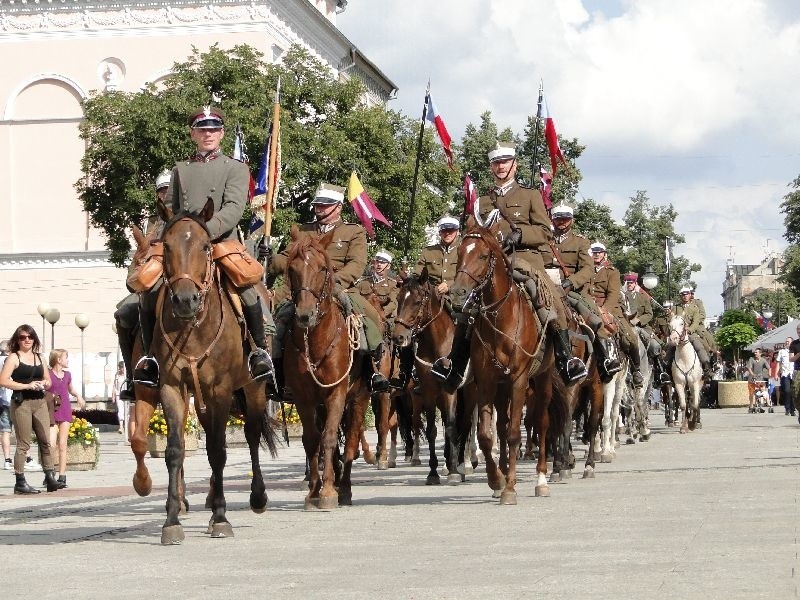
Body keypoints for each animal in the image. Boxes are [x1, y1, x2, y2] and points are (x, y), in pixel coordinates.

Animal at [133, 199, 280, 548]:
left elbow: (218, 450)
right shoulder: (172, 387)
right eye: (166, 247)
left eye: (204, 246)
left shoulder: (220, 390)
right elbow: (175, 451)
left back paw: (256, 497)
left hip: (253, 389)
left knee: (252, 434)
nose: (185, 300)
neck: (194, 325)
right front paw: (172, 521)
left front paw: (221, 517)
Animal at [282, 227, 370, 508]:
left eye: (322, 268)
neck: (316, 341)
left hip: (360, 397)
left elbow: (330, 437)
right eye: (292, 268)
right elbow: (312, 440)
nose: (305, 315)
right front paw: (313, 490)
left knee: (351, 440)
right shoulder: (304, 397)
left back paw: (345, 488)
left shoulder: (337, 392)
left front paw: (329, 491)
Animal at [392, 274, 476, 486]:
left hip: (470, 391)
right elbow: (432, 430)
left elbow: (453, 427)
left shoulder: (449, 390)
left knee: (464, 424)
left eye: (416, 301)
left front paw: (454, 470)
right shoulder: (429, 391)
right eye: (398, 299)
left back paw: (461, 465)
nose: (398, 337)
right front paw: (433, 472)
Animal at [446, 219, 560, 502]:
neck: (500, 318)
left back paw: (541, 479)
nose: (458, 293)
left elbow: (513, 434)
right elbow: (486, 435)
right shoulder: (486, 381)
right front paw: (496, 480)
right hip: (500, 388)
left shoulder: (519, 381)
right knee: (501, 425)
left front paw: (509, 489)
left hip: (541, 381)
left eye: (483, 256)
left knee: (541, 424)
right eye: (460, 253)